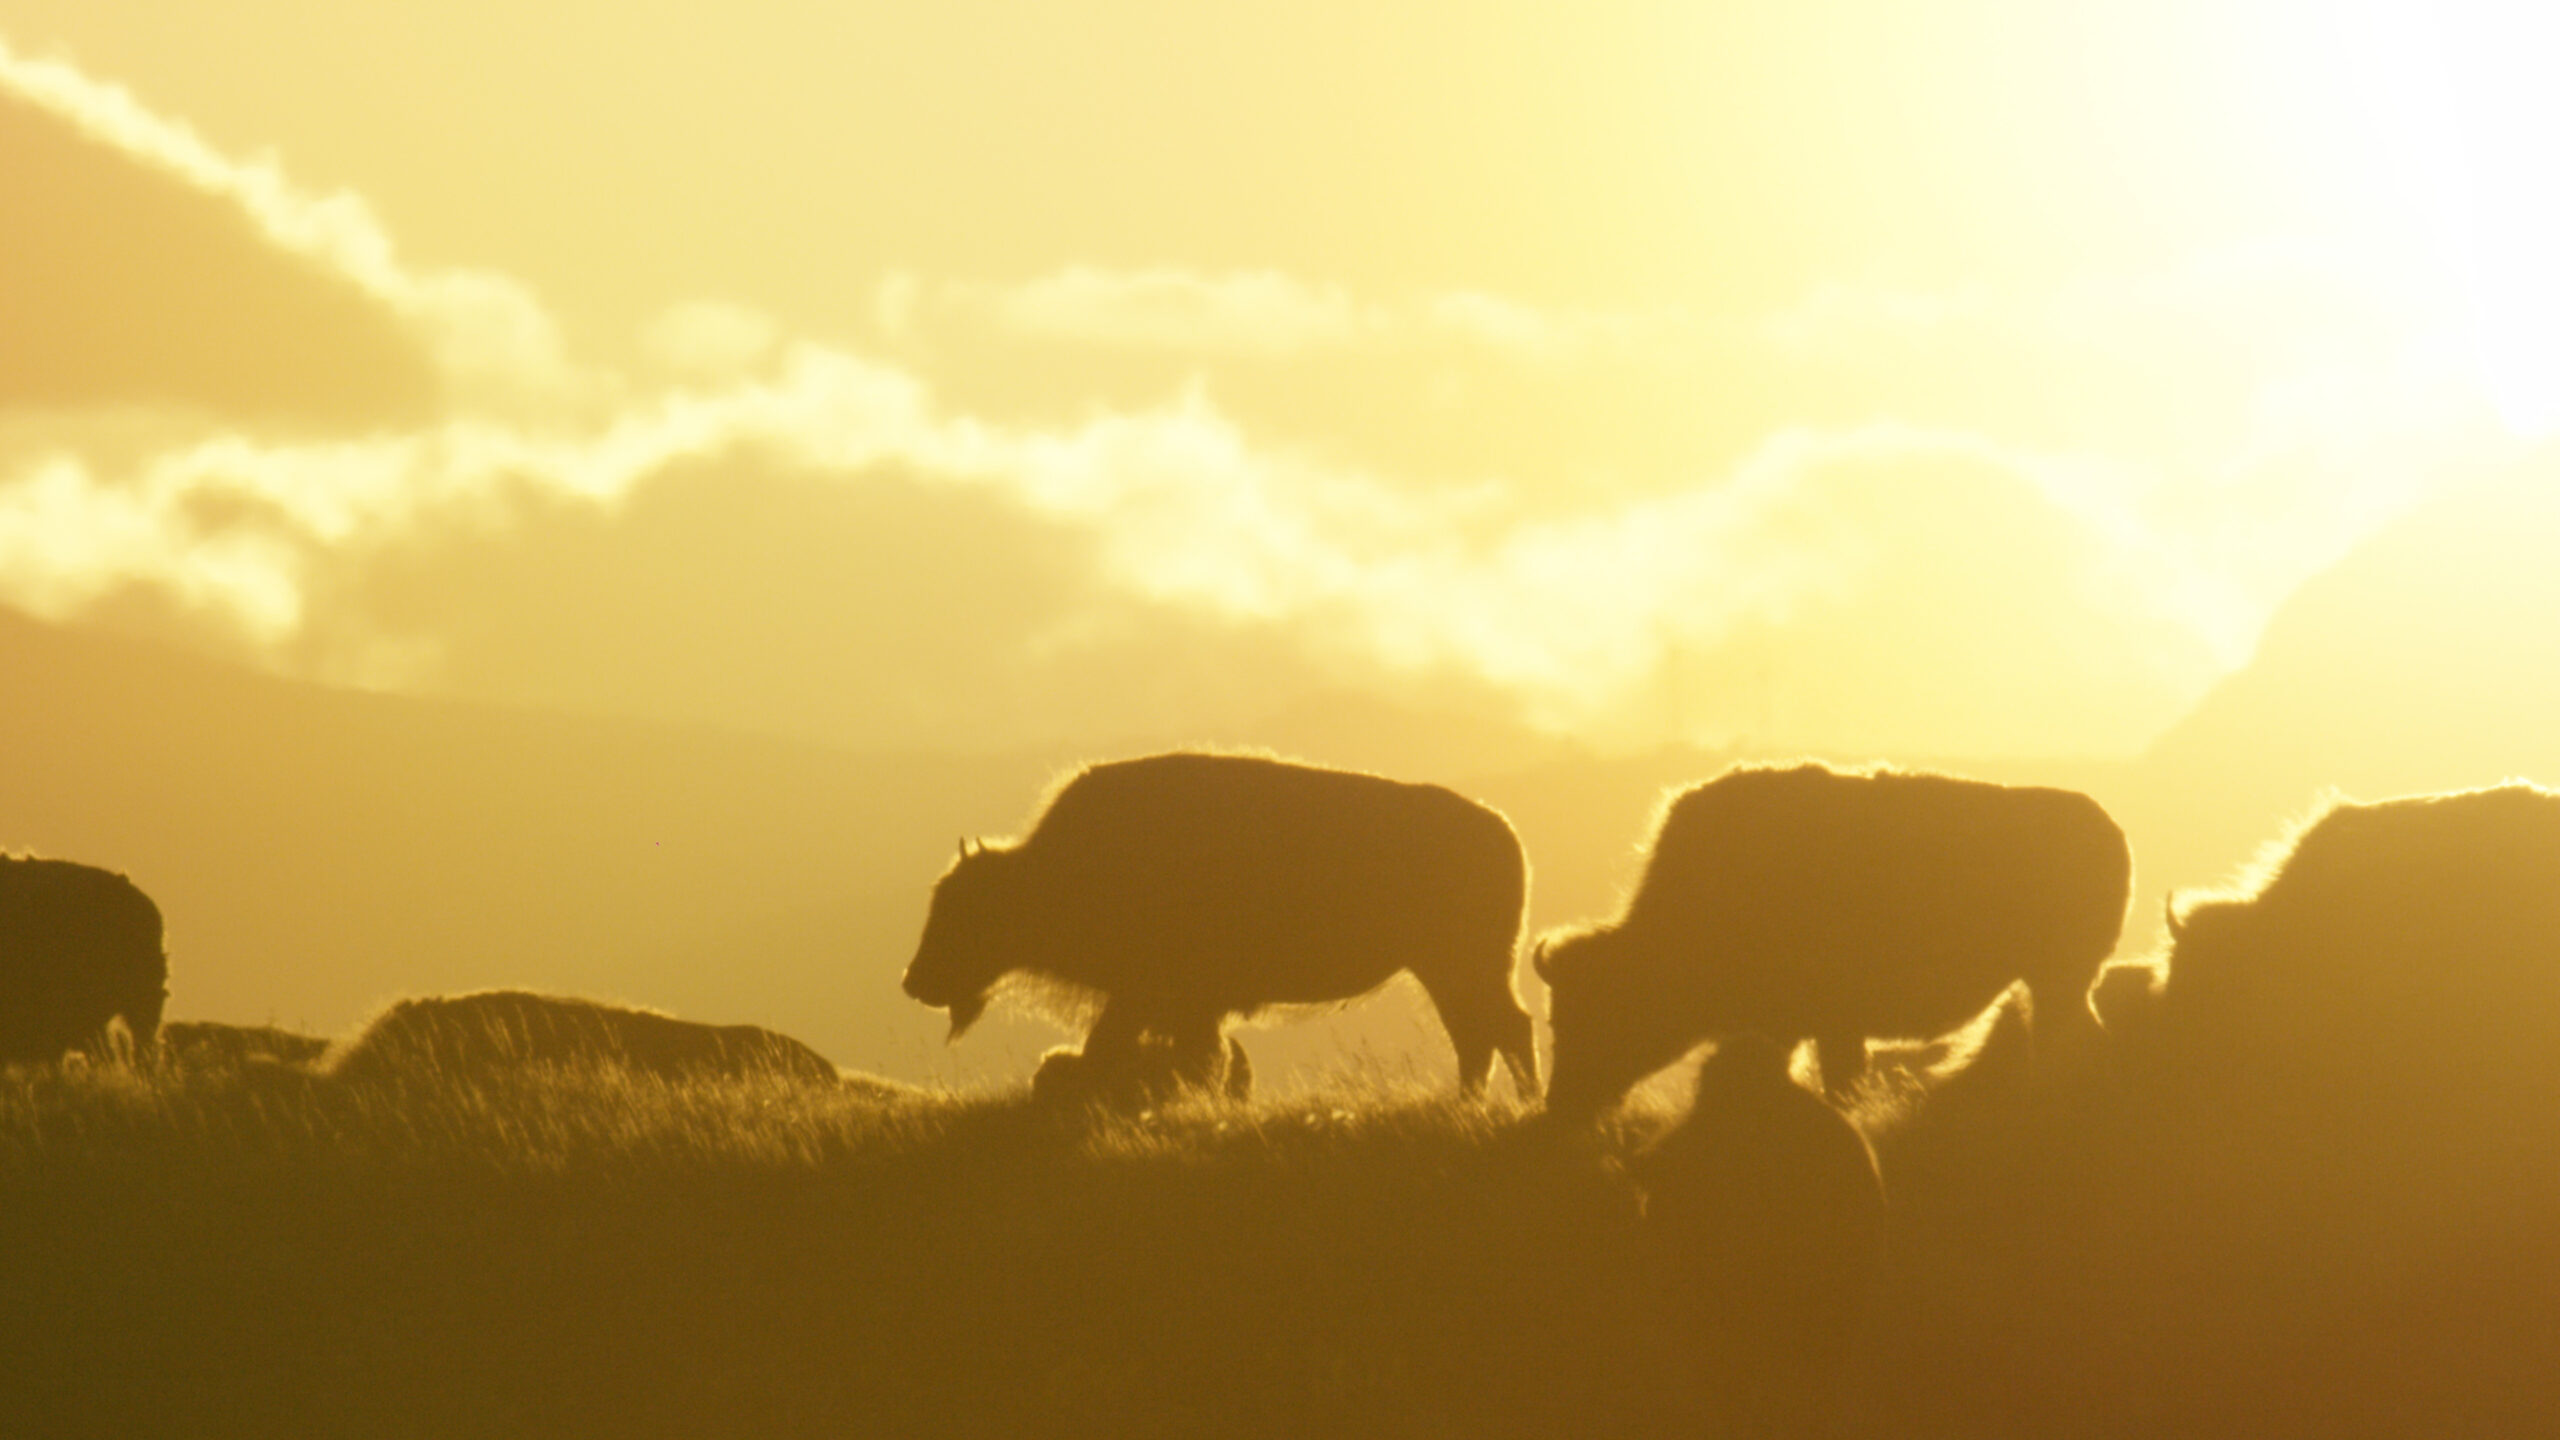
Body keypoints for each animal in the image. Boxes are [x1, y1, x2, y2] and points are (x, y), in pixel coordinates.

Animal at [902, 751, 1538, 1099]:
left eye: (963, 910)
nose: (913, 981)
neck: (1053, 870)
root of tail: (1505, 832)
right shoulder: (1174, 1006)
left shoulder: (1153, 998)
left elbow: (1135, 1050)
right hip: (1450, 972)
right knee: (1483, 1033)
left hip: (1459, 968)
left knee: (1499, 1029)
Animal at [1537, 762, 2130, 1119]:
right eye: (1557, 1017)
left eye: (1597, 1013)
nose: (1561, 1105)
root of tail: (2109, 828)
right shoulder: (1820, 1031)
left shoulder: (1818, 1028)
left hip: (2061, 983)